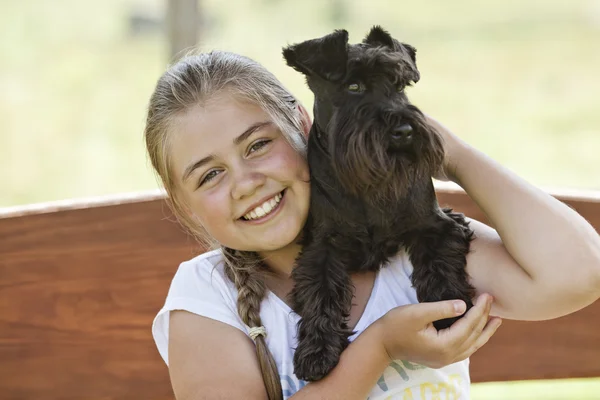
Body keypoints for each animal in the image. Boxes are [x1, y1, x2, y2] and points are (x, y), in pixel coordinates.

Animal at [284, 25, 476, 382]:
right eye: (353, 86)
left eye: (400, 85)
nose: (404, 130)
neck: (367, 185)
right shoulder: (322, 248)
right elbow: (321, 295)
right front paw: (316, 351)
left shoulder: (433, 226)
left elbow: (440, 264)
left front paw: (450, 311)